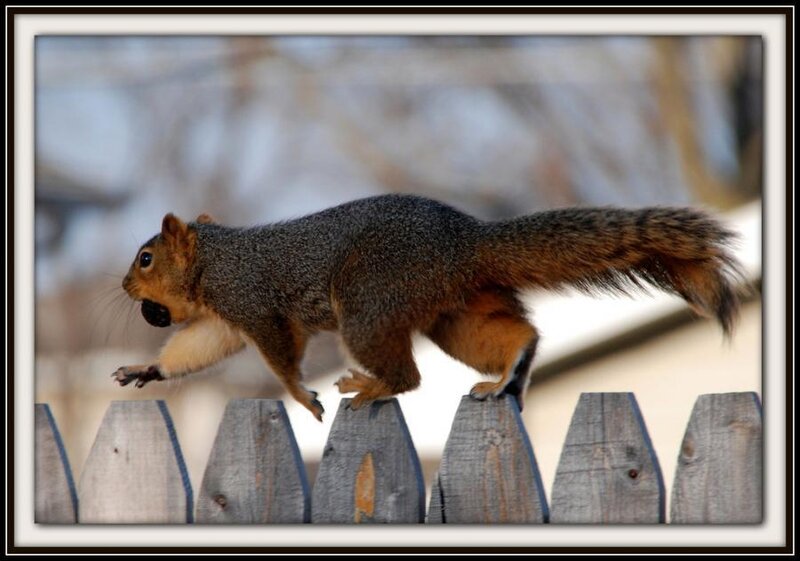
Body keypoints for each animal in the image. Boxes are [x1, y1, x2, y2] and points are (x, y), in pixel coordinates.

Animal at [114, 194, 745, 421]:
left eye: (145, 259)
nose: (122, 285)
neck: (214, 261)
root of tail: (465, 242)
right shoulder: (224, 320)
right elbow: (199, 347)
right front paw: (147, 368)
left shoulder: (253, 302)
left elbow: (280, 356)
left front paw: (302, 398)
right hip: (455, 315)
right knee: (513, 338)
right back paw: (505, 377)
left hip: (369, 304)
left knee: (408, 378)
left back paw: (369, 386)